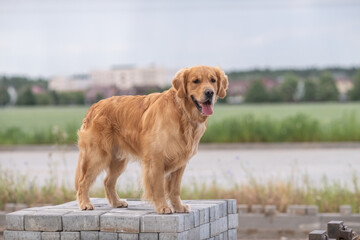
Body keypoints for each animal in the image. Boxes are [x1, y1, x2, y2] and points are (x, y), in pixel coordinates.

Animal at [74, 65, 229, 214]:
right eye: (196, 81)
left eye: (213, 80)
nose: (209, 92)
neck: (182, 112)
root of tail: (94, 106)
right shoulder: (156, 159)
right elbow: (159, 187)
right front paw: (163, 207)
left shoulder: (180, 162)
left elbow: (175, 189)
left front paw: (179, 207)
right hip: (97, 156)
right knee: (83, 182)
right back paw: (85, 204)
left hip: (118, 160)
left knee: (108, 181)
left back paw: (117, 202)